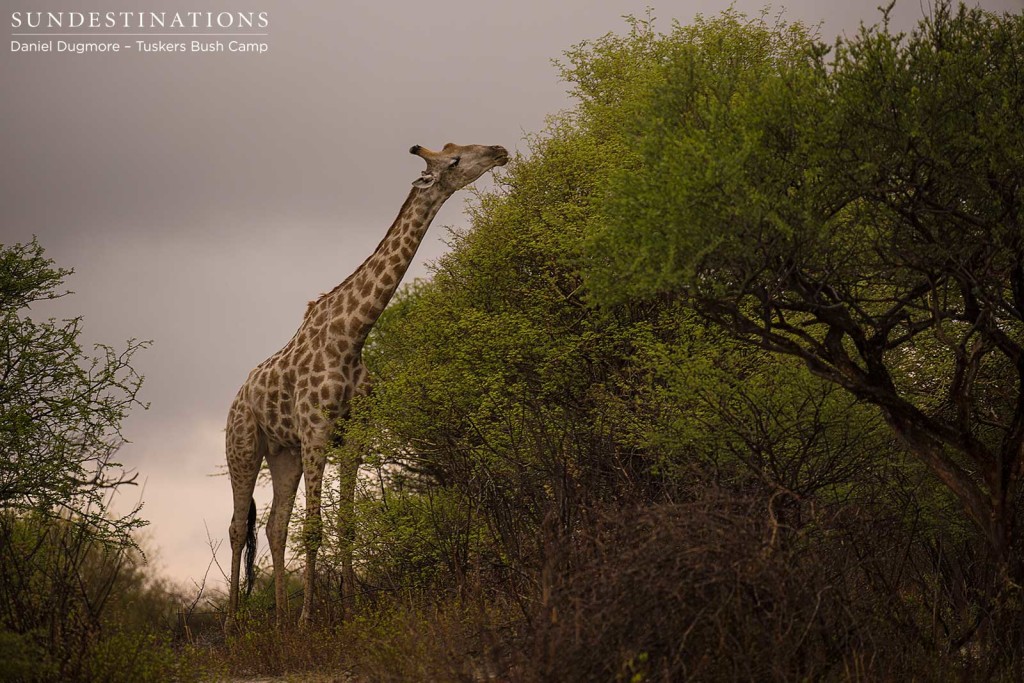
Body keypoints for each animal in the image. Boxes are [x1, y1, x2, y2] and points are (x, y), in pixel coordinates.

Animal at [226, 141, 509, 626]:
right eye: (454, 161)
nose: (500, 150)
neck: (351, 336)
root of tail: (237, 398)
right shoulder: (318, 432)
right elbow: (315, 528)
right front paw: (310, 619)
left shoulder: (353, 435)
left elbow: (346, 525)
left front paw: (348, 609)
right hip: (242, 448)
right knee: (236, 527)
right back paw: (233, 623)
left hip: (283, 453)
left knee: (274, 526)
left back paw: (278, 619)